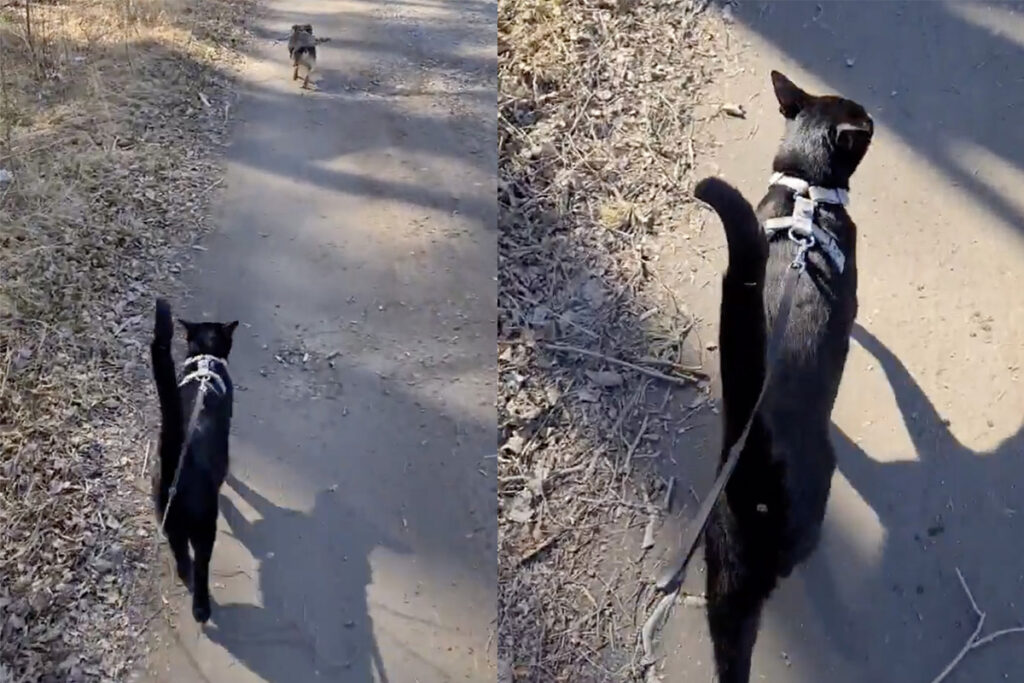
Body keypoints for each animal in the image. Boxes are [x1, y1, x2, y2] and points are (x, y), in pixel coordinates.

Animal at [149, 299, 237, 626]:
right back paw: (201, 608)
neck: (204, 364)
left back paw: (185, 578)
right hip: (204, 528)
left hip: (170, 523)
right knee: (200, 567)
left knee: (182, 558)